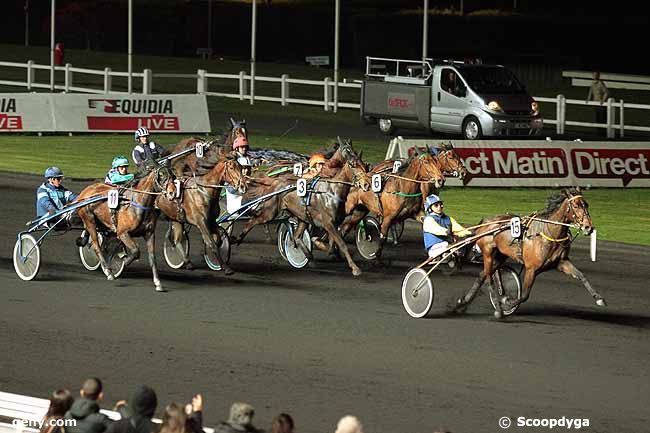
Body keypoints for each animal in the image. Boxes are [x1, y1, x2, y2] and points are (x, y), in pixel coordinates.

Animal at [74, 164, 176, 292]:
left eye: (173, 176)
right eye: (161, 175)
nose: (172, 193)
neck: (138, 203)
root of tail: (84, 192)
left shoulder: (149, 233)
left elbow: (152, 258)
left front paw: (158, 282)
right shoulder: (122, 233)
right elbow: (136, 250)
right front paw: (126, 261)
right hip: (90, 220)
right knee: (96, 246)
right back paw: (108, 271)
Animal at [454, 187, 604, 318]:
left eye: (586, 204)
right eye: (576, 205)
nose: (588, 227)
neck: (547, 233)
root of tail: (485, 221)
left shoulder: (561, 263)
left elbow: (582, 276)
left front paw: (599, 298)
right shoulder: (531, 269)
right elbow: (524, 295)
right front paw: (508, 303)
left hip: (500, 256)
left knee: (482, 276)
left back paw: (463, 302)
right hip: (488, 253)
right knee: (489, 279)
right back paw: (498, 308)